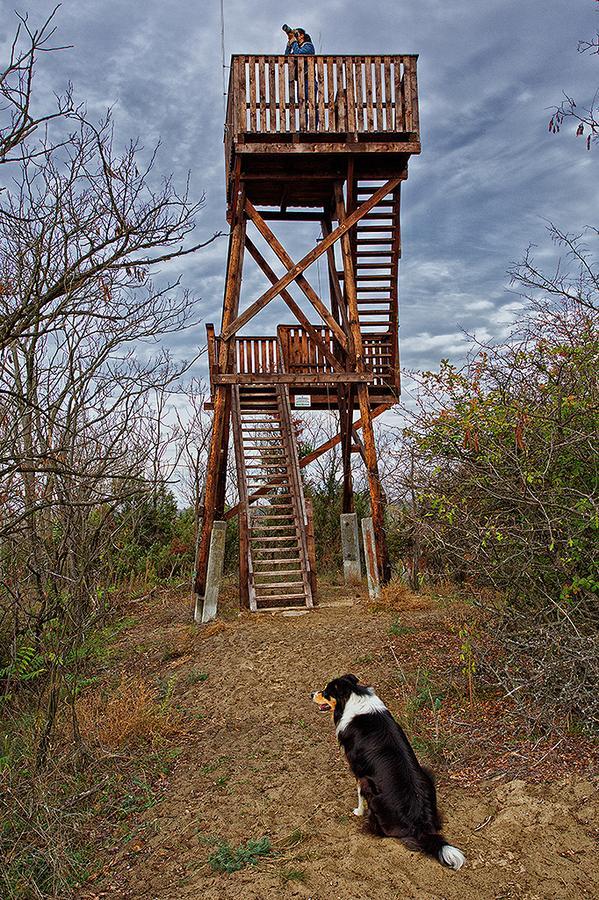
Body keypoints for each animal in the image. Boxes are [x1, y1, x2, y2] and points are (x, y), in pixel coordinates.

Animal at [312, 672, 466, 868]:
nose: (311, 694)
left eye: (326, 692)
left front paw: (358, 811)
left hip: (372, 789)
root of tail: (420, 823)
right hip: (427, 773)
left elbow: (359, 794)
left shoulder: (359, 771)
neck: (353, 696)